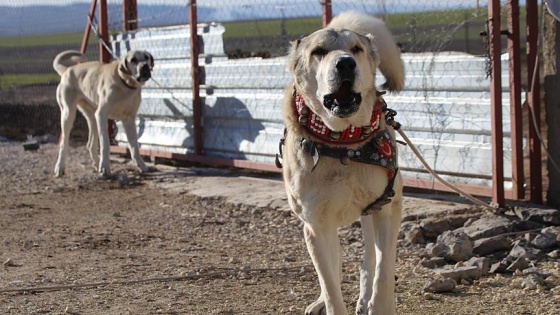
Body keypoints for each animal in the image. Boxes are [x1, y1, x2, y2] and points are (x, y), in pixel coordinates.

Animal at [52, 49, 155, 178]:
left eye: (146, 57)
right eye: (133, 60)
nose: (145, 66)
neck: (125, 84)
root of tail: (67, 70)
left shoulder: (129, 120)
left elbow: (134, 146)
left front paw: (142, 166)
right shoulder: (102, 115)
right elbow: (105, 144)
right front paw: (105, 167)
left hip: (92, 117)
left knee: (90, 144)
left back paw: (97, 164)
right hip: (68, 114)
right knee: (63, 144)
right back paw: (60, 167)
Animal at [282, 10, 404, 315]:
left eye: (356, 49)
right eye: (318, 51)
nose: (346, 63)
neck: (343, 144)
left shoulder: (386, 208)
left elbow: (383, 270)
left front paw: (378, 304)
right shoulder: (316, 225)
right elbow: (329, 284)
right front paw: (326, 300)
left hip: (372, 213)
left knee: (370, 259)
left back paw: (364, 298)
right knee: (334, 266)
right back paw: (320, 302)